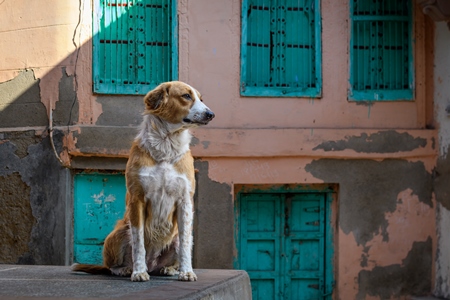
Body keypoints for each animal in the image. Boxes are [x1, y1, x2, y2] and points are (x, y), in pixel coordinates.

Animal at [72, 80, 214, 282]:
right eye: (186, 96)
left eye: (201, 98)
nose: (211, 114)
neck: (167, 145)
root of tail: (153, 264)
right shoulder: (137, 199)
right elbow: (138, 242)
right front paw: (139, 272)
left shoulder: (185, 200)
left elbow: (186, 243)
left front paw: (186, 271)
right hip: (118, 233)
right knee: (110, 266)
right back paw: (125, 269)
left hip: (173, 238)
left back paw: (169, 269)